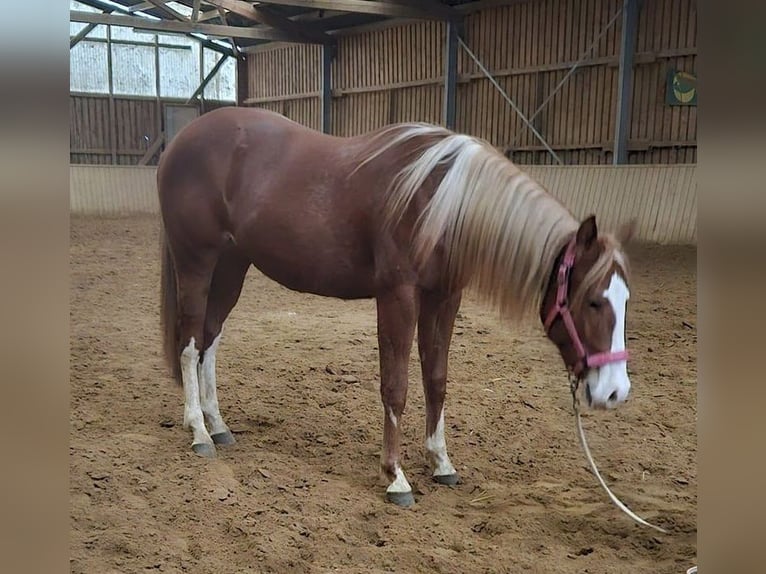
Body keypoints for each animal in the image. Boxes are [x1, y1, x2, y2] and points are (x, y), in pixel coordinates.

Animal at [156, 108, 636, 508]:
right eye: (593, 300)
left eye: (625, 300)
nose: (616, 391)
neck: (441, 200)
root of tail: (180, 142)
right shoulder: (398, 296)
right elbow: (397, 386)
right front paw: (396, 476)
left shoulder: (444, 298)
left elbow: (436, 380)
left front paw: (441, 462)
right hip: (197, 262)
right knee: (190, 341)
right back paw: (198, 431)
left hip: (232, 265)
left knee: (210, 338)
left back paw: (218, 425)